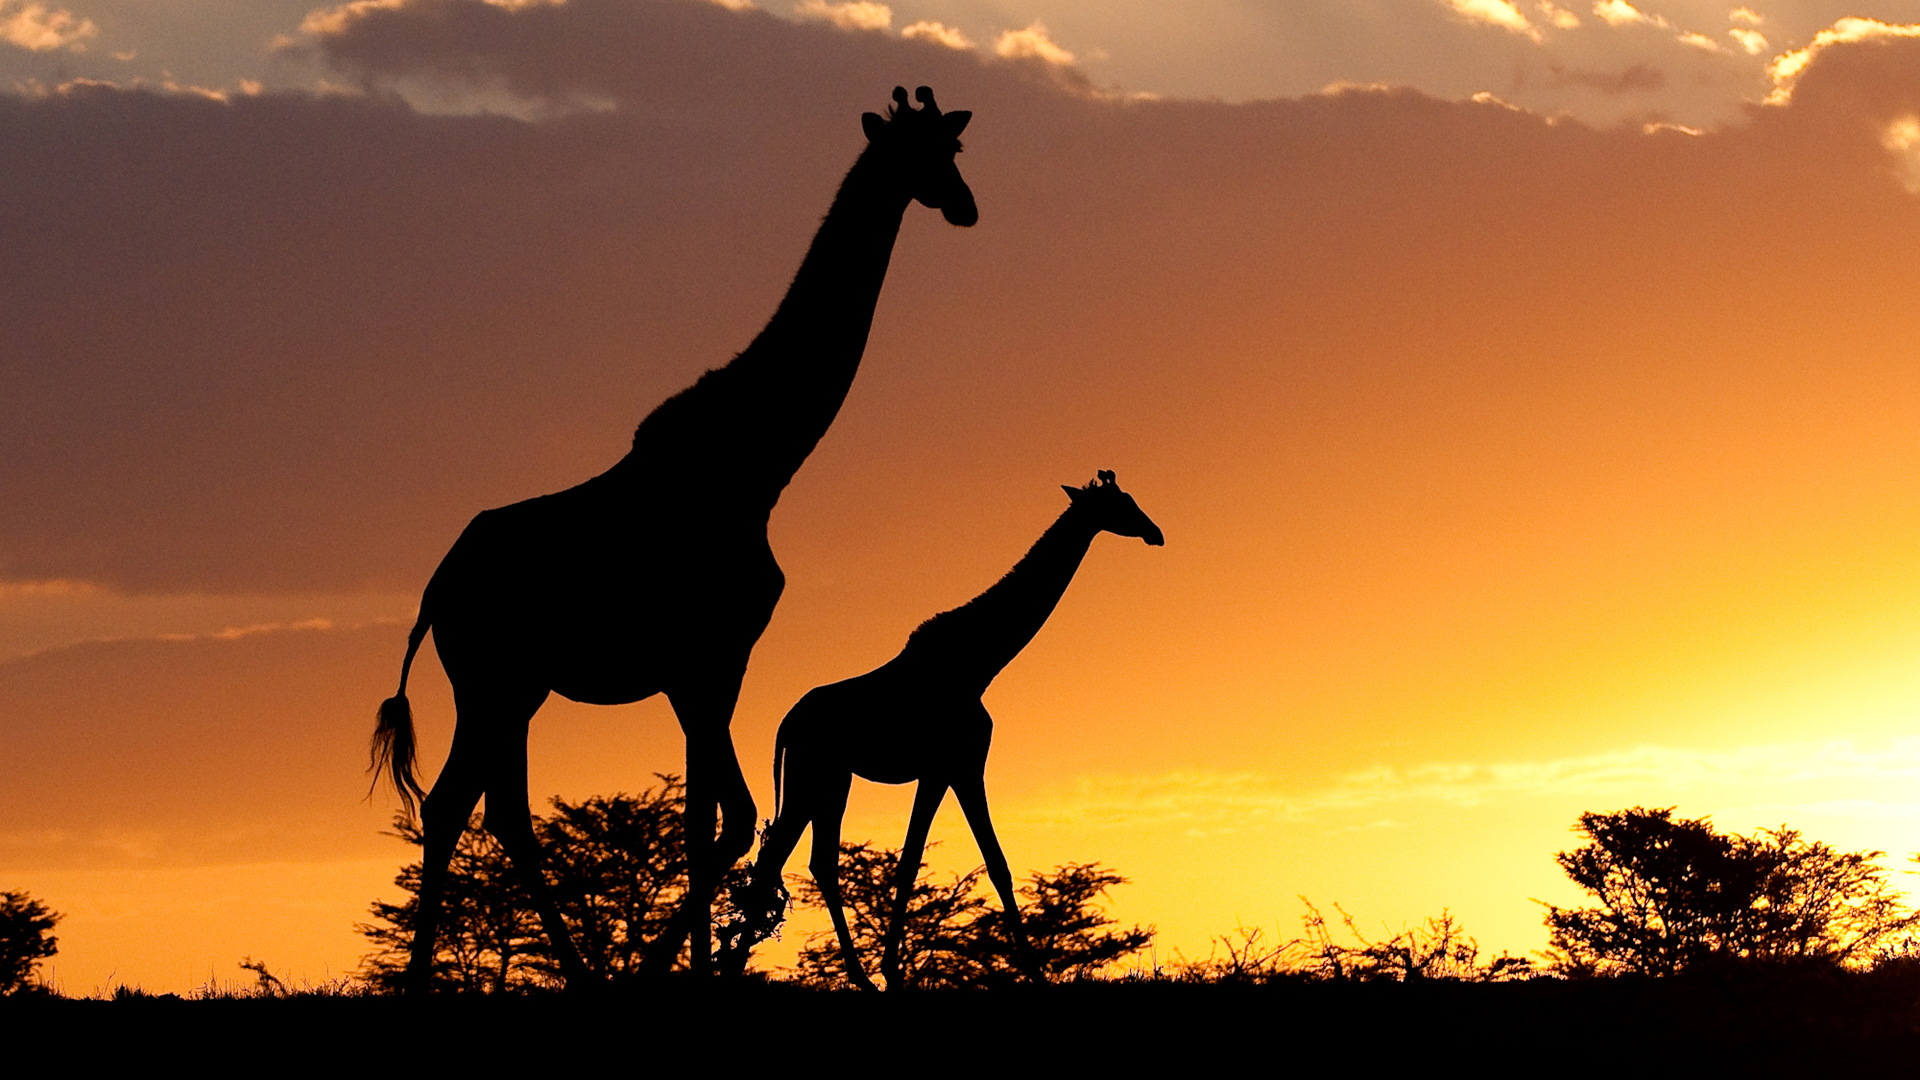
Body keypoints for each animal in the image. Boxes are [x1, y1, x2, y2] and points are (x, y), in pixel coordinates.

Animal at [368, 87, 976, 992]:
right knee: (457, 805)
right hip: (491, 679)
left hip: (515, 686)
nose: (967, 206)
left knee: (492, 808)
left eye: (955, 147)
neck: (758, 464)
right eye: (922, 152)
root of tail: (438, 586)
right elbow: (732, 819)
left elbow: (703, 819)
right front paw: (671, 969)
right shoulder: (711, 660)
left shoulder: (702, 670)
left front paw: (681, 967)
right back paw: (445, 981)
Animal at [736, 471, 1163, 989]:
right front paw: (1029, 972)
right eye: (1122, 503)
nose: (1156, 533)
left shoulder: (946, 771)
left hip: (832, 779)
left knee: (814, 861)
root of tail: (786, 723)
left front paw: (892, 971)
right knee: (777, 860)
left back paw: (847, 975)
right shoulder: (958, 766)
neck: (979, 664)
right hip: (811, 776)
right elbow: (975, 863)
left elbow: (933, 862)